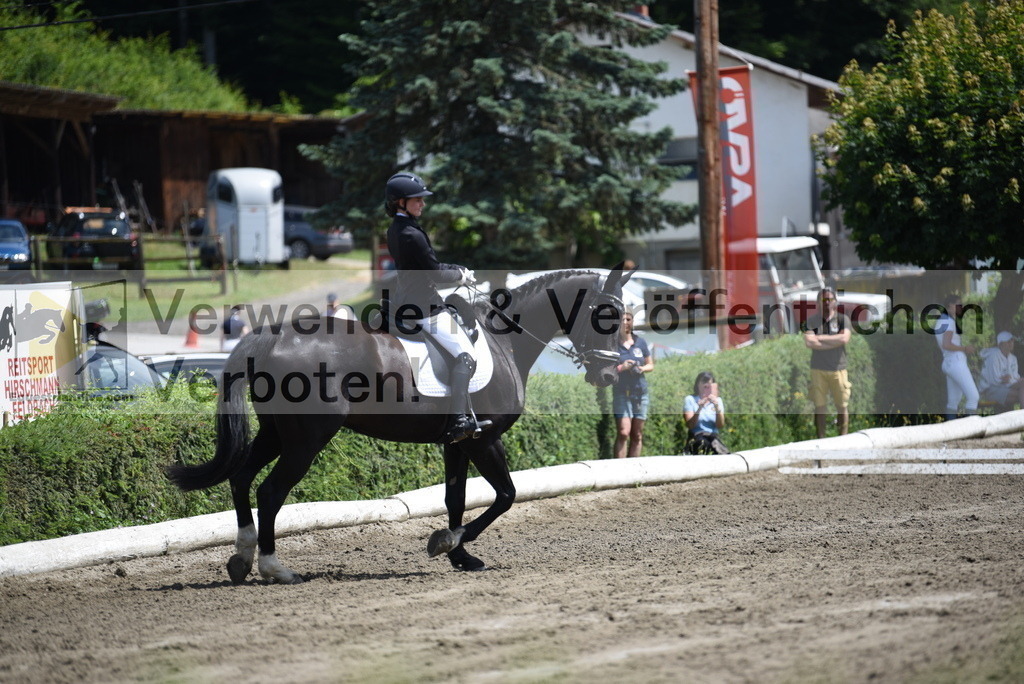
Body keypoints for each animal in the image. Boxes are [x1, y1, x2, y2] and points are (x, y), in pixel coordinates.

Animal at [165, 266, 630, 581]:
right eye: (604, 314)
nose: (609, 376)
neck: (505, 341)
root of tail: (274, 334)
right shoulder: (484, 439)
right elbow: (505, 496)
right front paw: (448, 543)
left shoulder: (457, 442)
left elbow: (456, 498)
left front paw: (459, 555)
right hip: (307, 440)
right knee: (270, 491)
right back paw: (274, 567)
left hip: (277, 433)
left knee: (242, 479)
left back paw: (241, 558)